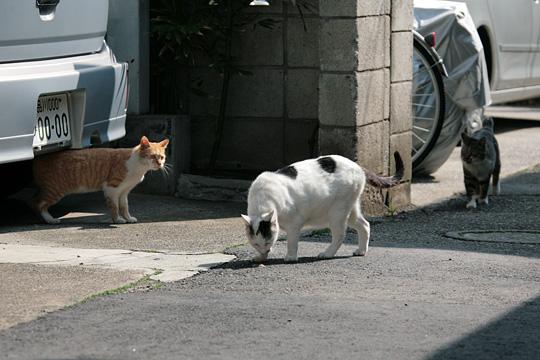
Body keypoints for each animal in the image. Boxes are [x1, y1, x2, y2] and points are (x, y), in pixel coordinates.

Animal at [32, 136, 168, 224]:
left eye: (162, 157)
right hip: (55, 190)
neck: (138, 166)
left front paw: (128, 218)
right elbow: (114, 207)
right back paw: (49, 219)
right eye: (153, 157)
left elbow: (124, 206)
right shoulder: (111, 188)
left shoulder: (124, 192)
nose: (160, 164)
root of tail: (40, 157)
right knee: (39, 204)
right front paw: (117, 220)